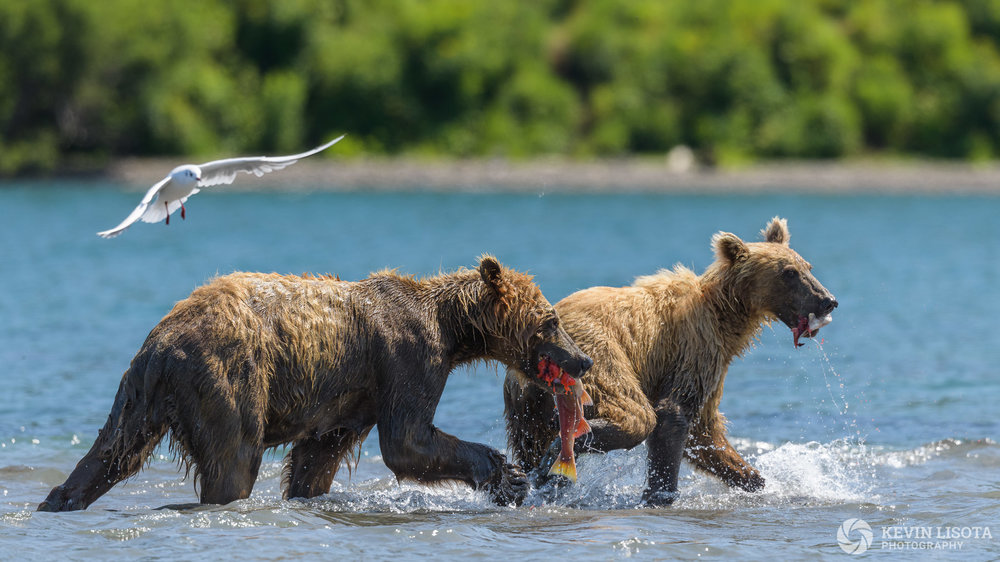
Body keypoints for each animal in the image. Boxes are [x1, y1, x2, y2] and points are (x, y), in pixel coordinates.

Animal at [37, 256, 592, 510]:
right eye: (549, 321)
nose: (583, 360)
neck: (452, 331)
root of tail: (161, 340)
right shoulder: (405, 360)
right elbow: (408, 440)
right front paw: (509, 476)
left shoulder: (351, 400)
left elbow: (317, 458)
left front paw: (308, 492)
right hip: (226, 377)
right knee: (233, 461)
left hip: (141, 392)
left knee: (111, 451)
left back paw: (58, 500)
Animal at [504, 215, 840, 504]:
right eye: (788, 272)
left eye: (807, 266)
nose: (828, 300)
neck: (727, 316)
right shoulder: (695, 346)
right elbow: (673, 415)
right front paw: (660, 492)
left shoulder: (713, 365)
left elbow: (705, 431)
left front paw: (755, 480)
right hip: (591, 355)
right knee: (635, 413)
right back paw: (570, 445)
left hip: (525, 402)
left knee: (531, 442)